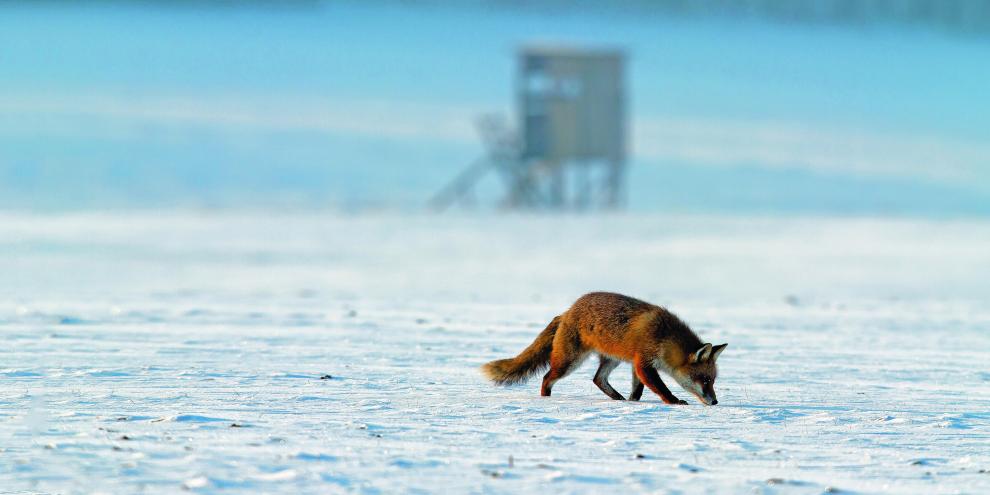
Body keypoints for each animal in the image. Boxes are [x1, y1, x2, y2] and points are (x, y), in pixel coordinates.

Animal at [482, 292, 727, 405]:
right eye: (706, 380)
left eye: (713, 380)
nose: (715, 402)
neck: (664, 337)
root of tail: (566, 312)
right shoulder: (644, 362)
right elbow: (661, 388)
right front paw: (674, 402)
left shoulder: (636, 363)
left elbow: (638, 390)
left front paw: (633, 402)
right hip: (569, 361)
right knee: (546, 377)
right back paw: (547, 399)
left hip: (612, 359)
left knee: (598, 379)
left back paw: (617, 399)